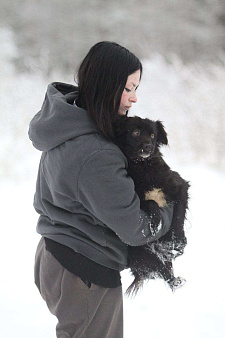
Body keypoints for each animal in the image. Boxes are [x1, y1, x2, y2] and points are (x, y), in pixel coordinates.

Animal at [113, 116, 189, 296]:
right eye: (135, 132)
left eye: (153, 135)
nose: (147, 146)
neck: (143, 165)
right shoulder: (133, 197)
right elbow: (151, 202)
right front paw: (156, 222)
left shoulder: (180, 185)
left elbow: (178, 214)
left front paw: (178, 240)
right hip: (143, 252)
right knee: (162, 271)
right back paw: (174, 281)